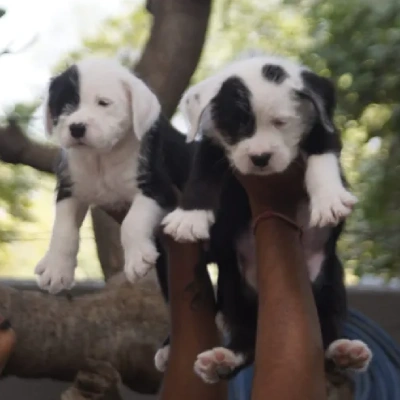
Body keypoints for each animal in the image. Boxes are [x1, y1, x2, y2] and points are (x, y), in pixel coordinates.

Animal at [35, 56, 195, 292]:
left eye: (103, 103)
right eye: (64, 104)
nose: (76, 128)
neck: (101, 158)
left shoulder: (157, 188)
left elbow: (132, 221)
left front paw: (137, 259)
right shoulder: (70, 189)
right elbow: (63, 229)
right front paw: (56, 268)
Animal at [156, 55, 372, 382]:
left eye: (281, 123)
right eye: (238, 127)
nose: (259, 158)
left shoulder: (323, 127)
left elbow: (322, 156)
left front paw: (329, 198)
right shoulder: (213, 144)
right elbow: (202, 175)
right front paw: (189, 218)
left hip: (330, 280)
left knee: (327, 330)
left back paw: (344, 350)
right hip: (233, 285)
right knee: (246, 339)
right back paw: (221, 359)